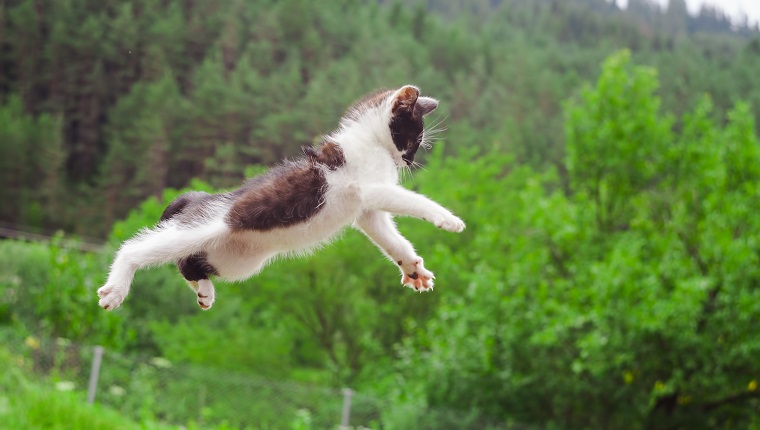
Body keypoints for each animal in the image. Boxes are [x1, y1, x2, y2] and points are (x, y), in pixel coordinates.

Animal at [98, 85, 466, 310]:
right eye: (412, 137)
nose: (409, 160)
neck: (369, 140)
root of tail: (197, 198)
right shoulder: (367, 188)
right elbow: (413, 199)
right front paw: (448, 218)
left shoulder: (366, 212)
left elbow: (390, 238)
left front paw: (413, 267)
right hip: (207, 226)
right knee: (137, 248)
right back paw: (116, 290)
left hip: (236, 261)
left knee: (187, 261)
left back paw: (204, 291)